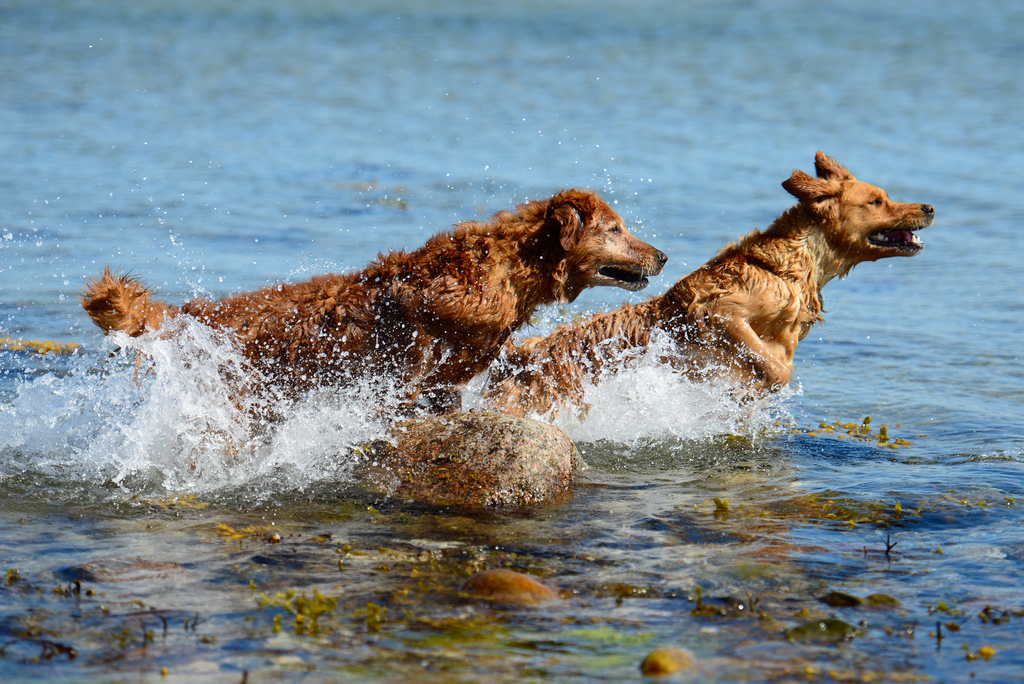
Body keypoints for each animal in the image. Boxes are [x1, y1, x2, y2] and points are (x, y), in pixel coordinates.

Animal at [483, 151, 933, 413]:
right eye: (876, 201)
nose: (928, 207)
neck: (787, 271)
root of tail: (518, 358)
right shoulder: (715, 312)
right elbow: (775, 369)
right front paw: (745, 391)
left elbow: (777, 365)